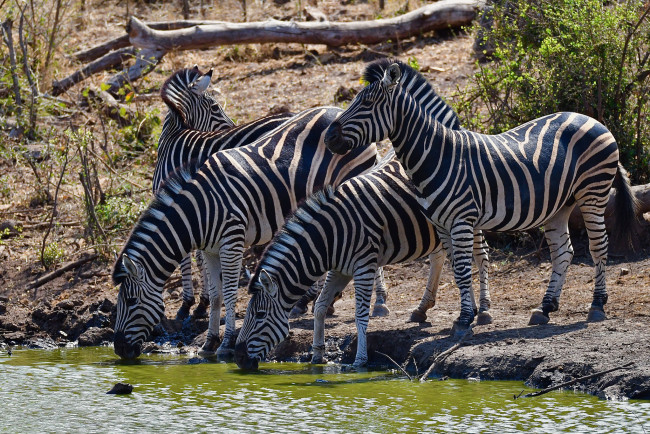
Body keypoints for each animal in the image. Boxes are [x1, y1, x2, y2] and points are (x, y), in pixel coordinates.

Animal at [110, 106, 374, 360]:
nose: (119, 349)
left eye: (130, 301)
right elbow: (216, 295)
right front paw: (209, 343)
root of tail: (337, 109)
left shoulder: (232, 241)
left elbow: (229, 294)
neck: (200, 208)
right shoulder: (210, 249)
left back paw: (372, 302)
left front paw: (225, 344)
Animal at [154, 66, 292, 320]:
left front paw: (190, 304)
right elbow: (199, 256)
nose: (231, 126)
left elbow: (188, 259)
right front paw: (203, 302)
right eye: (216, 107)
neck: (173, 137)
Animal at [233, 147, 492, 368]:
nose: (238, 358)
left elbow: (359, 314)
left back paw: (483, 310)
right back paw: (440, 309)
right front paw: (317, 354)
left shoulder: (364, 266)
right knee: (447, 258)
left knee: (480, 255)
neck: (330, 236)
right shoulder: (340, 269)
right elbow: (320, 306)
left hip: (467, 219)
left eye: (259, 315)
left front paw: (359, 360)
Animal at [322, 60, 636, 336]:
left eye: (367, 103)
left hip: (592, 191)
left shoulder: (462, 219)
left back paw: (596, 306)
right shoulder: (442, 224)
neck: (438, 154)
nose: (328, 137)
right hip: (560, 204)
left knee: (598, 246)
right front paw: (469, 314)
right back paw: (545, 308)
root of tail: (592, 119)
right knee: (563, 252)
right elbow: (457, 269)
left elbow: (464, 267)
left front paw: (464, 320)